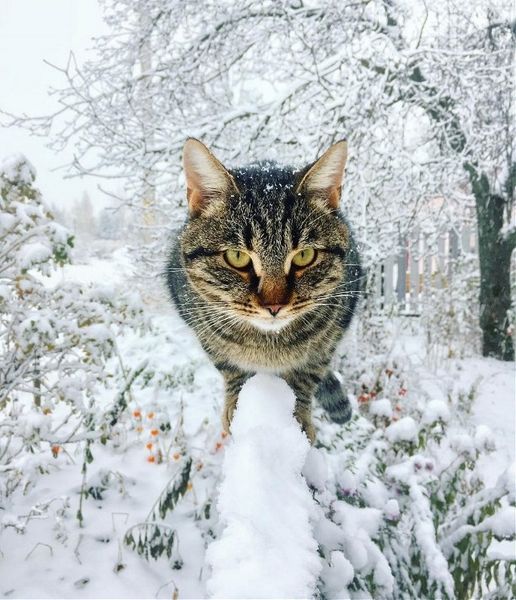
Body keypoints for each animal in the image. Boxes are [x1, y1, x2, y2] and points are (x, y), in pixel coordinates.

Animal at [167, 139, 360, 440]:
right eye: (236, 257)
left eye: (304, 256)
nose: (274, 305)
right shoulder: (202, 330)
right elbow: (231, 368)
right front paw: (236, 405)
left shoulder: (332, 335)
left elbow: (307, 375)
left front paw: (298, 418)